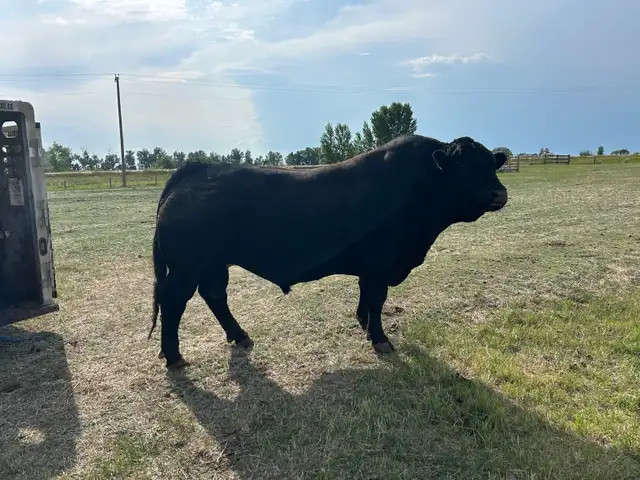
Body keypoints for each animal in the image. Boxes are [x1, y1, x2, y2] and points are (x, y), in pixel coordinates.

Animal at [148, 134, 509, 369]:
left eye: (492, 165)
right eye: (464, 167)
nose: (499, 193)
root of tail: (198, 169)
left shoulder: (370, 267)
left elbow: (367, 298)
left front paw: (363, 323)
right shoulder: (379, 264)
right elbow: (377, 300)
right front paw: (380, 339)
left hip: (213, 263)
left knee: (214, 295)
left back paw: (240, 336)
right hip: (186, 267)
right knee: (174, 302)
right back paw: (174, 357)